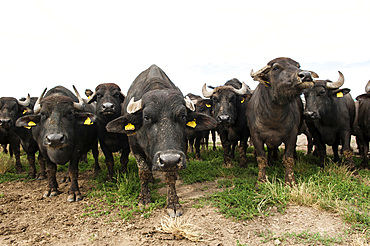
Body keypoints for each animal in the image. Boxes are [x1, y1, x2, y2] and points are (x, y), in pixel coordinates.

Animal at [105, 64, 215, 216]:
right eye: (146, 117)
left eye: (183, 115)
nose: (169, 159)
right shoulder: (134, 146)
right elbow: (143, 171)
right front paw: (144, 199)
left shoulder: (179, 150)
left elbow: (170, 175)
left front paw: (173, 204)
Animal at [249, 57, 316, 186]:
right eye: (276, 68)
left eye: (298, 65)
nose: (306, 75)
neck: (274, 117)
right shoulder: (255, 136)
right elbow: (261, 158)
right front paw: (261, 181)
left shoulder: (292, 135)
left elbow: (288, 158)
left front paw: (290, 181)